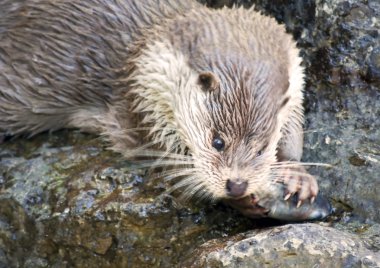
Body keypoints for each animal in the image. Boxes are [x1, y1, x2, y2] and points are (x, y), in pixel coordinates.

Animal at [0, 0, 328, 220]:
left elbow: (293, 127)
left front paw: (296, 174)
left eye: (262, 149)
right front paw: (244, 201)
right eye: (217, 142)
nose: (236, 185)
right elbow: (170, 160)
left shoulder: (296, 79)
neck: (143, 57)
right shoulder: (139, 107)